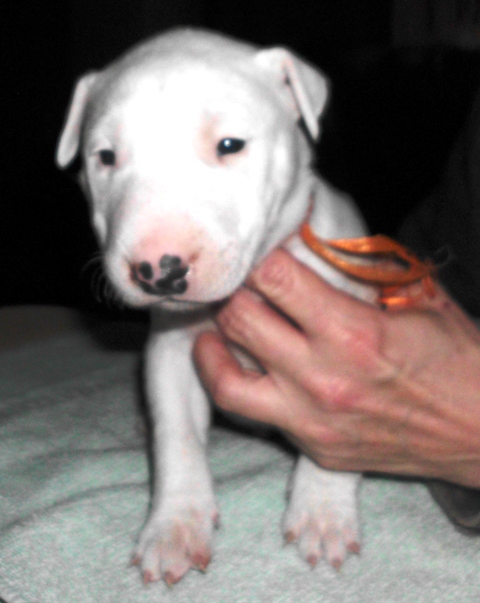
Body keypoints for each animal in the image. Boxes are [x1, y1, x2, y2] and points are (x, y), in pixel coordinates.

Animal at [56, 28, 373, 585]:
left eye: (230, 145)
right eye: (105, 157)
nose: (158, 270)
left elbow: (338, 430)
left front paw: (323, 513)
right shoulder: (173, 349)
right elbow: (176, 436)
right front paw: (174, 529)